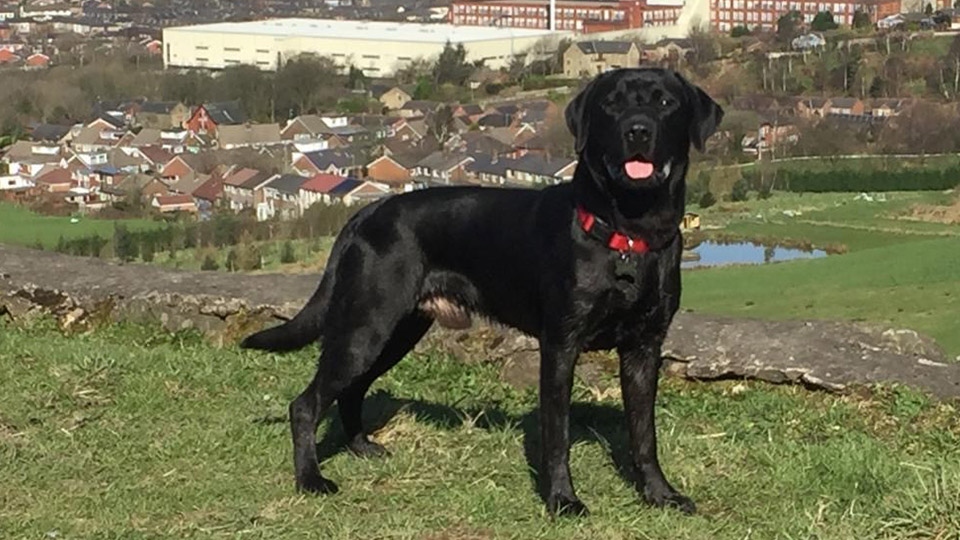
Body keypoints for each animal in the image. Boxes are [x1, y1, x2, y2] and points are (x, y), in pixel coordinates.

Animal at [240, 66, 720, 516]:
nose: (637, 130)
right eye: (612, 104)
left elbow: (644, 434)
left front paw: (660, 494)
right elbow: (557, 434)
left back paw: (362, 449)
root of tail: (366, 212)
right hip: (366, 325)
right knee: (306, 404)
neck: (627, 235)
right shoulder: (560, 345)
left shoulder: (644, 347)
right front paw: (562, 500)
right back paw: (311, 479)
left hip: (396, 331)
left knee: (352, 390)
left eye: (664, 102)